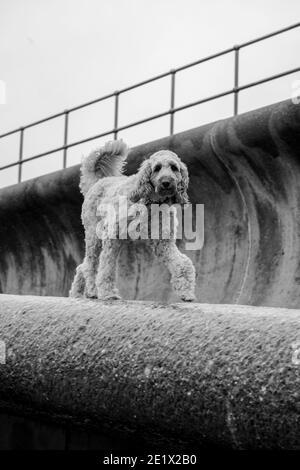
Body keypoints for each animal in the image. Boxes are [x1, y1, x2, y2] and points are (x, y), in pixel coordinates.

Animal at [70, 140, 197, 302]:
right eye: (157, 168)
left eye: (174, 168)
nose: (166, 182)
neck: (151, 202)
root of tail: (98, 182)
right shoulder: (113, 235)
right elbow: (107, 267)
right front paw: (108, 293)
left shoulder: (163, 243)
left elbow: (182, 263)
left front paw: (186, 292)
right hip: (94, 236)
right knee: (90, 266)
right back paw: (92, 291)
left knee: (82, 266)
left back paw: (76, 294)